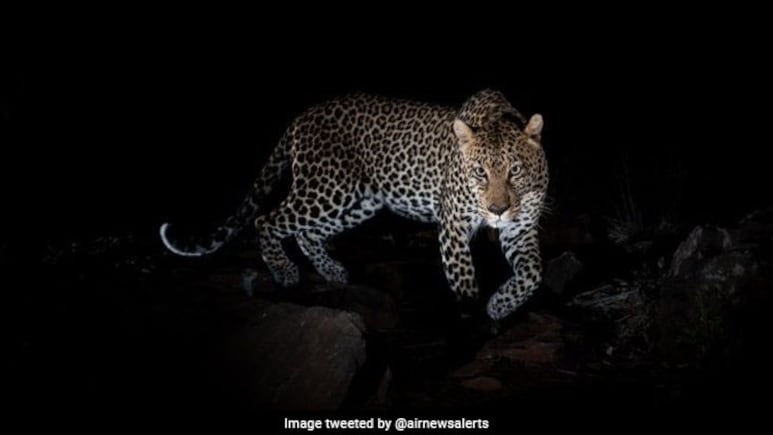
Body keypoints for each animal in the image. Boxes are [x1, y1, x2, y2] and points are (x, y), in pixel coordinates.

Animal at [160, 89, 548, 321]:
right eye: (480, 172)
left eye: (514, 170)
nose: (497, 210)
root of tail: (301, 117)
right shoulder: (453, 225)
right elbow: (465, 280)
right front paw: (471, 316)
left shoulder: (520, 227)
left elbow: (532, 274)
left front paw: (500, 305)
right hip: (327, 189)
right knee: (267, 220)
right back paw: (285, 273)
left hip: (357, 202)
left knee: (307, 233)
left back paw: (333, 270)